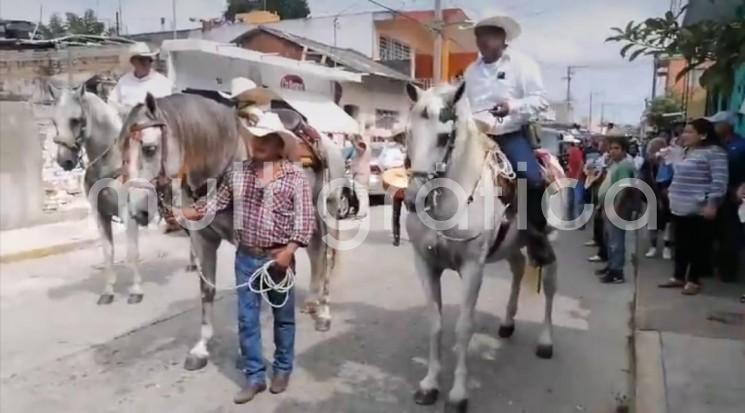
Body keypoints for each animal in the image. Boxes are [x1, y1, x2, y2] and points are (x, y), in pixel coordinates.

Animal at [402, 82, 560, 410]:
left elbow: (464, 327)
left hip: (552, 243)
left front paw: (458, 394)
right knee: (518, 269)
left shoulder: (473, 268)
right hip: (513, 244)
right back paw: (508, 323)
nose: (412, 200)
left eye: (443, 137)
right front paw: (429, 385)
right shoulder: (425, 264)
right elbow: (435, 323)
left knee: (550, 289)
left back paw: (545, 342)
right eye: (407, 134)